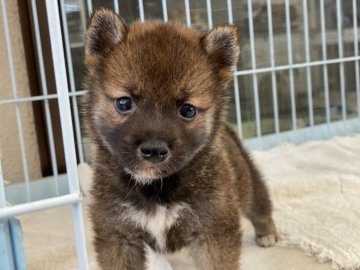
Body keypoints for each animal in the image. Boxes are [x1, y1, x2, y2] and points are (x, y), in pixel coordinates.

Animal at [83, 7, 278, 268]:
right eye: (124, 103)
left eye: (188, 110)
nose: (154, 150)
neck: (155, 189)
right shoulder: (118, 236)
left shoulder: (213, 231)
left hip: (247, 181)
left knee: (260, 203)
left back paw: (267, 233)